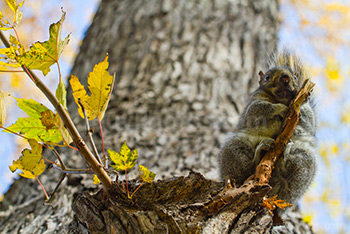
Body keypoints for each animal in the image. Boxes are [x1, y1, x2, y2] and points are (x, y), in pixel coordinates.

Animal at [220, 50, 316, 206]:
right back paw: (261, 152)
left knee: (289, 176)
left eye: (295, 77)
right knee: (248, 168)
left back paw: (285, 157)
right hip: (234, 148)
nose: (285, 78)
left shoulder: (309, 115)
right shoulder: (253, 105)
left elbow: (308, 121)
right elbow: (260, 109)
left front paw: (302, 102)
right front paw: (280, 108)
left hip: (305, 158)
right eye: (267, 77)